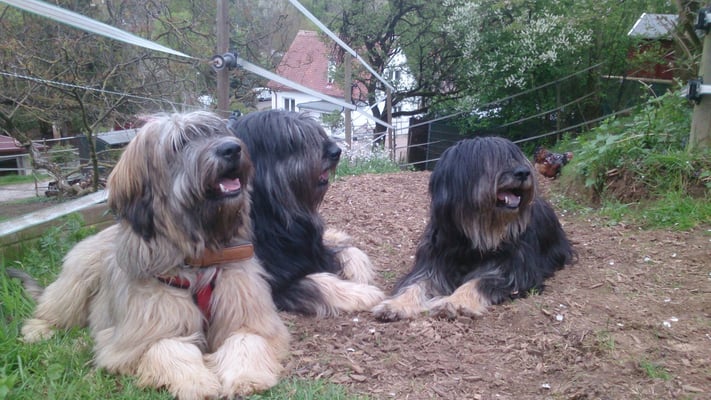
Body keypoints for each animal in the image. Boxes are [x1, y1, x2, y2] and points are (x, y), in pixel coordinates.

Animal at [9, 111, 289, 399]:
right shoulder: (136, 337)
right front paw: (197, 382)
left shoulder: (250, 314)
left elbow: (247, 339)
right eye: (180, 143)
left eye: (216, 132)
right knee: (52, 309)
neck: (196, 258)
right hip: (78, 278)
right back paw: (38, 330)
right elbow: (167, 347)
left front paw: (247, 377)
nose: (231, 149)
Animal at [227, 110, 384, 317]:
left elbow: (352, 252)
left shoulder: (313, 248)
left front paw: (360, 274)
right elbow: (319, 283)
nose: (336, 151)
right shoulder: (271, 283)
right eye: (293, 140)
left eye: (317, 132)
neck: (274, 215)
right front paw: (364, 293)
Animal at [373, 136, 575, 321]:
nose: (524, 172)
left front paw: (453, 302)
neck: (471, 236)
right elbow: (416, 284)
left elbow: (477, 282)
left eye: (515, 157)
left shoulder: (512, 272)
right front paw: (396, 304)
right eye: (491, 160)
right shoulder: (434, 262)